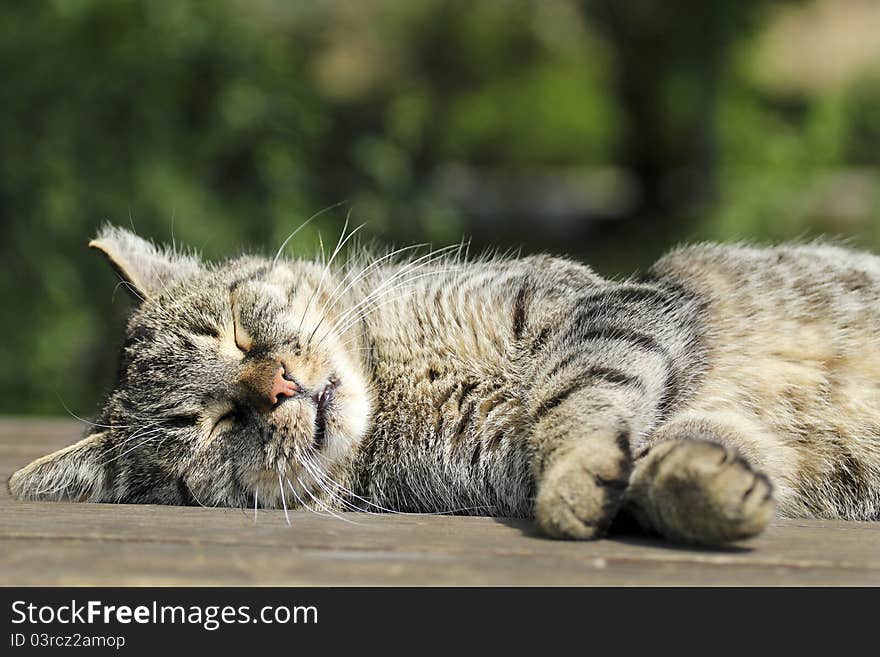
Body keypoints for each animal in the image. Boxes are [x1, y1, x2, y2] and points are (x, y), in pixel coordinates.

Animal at [8, 226, 880, 544]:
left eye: (236, 332)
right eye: (210, 424)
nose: (279, 385)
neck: (395, 380)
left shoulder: (598, 306)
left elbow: (576, 390)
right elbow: (652, 446)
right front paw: (699, 486)